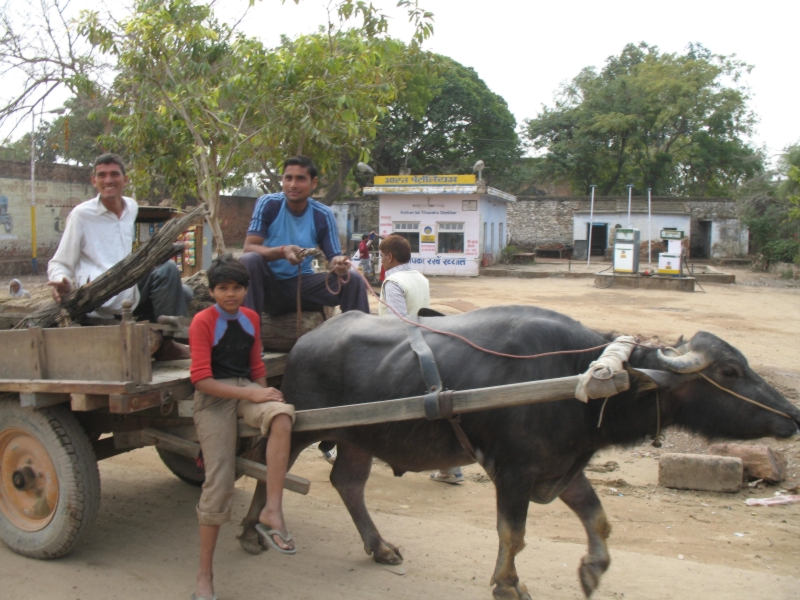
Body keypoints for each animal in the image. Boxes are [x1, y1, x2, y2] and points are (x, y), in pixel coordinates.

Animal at [236, 308, 792, 596]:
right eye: (729, 372)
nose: (792, 415)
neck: (578, 380)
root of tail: (306, 341)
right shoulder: (515, 472)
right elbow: (514, 533)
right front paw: (507, 584)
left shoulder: (562, 466)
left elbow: (598, 517)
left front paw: (592, 570)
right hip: (300, 425)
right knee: (265, 464)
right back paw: (248, 531)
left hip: (358, 438)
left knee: (347, 483)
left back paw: (380, 547)